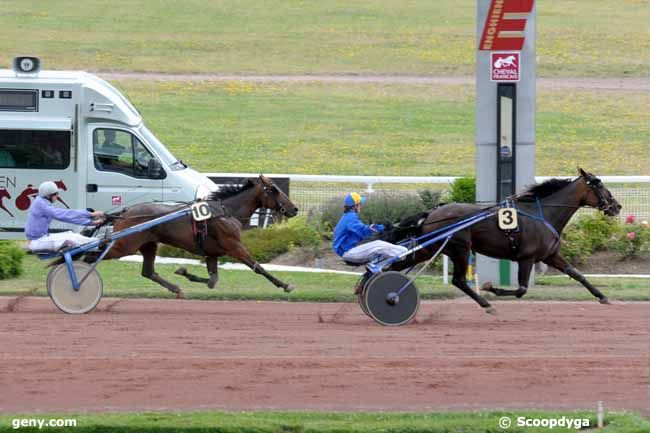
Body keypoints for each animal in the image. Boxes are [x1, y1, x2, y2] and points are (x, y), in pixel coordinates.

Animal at [82, 176, 298, 296]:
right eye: (274, 190)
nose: (294, 209)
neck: (226, 211)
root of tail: (126, 212)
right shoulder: (234, 246)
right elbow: (257, 267)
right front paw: (285, 285)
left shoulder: (212, 253)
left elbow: (212, 281)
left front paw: (183, 272)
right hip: (124, 245)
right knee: (90, 256)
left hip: (149, 244)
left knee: (148, 272)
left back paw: (176, 289)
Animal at [380, 169, 616, 314]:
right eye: (599, 185)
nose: (617, 206)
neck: (543, 215)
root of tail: (432, 213)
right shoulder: (526, 258)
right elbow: (521, 289)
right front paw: (490, 288)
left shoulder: (550, 255)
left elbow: (577, 274)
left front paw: (603, 297)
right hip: (460, 249)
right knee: (459, 280)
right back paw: (486, 304)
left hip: (430, 248)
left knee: (396, 265)